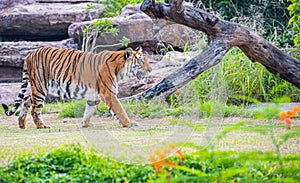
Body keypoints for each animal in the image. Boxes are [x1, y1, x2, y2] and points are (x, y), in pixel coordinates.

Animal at [1, 45, 152, 129]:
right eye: (141, 62)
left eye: (147, 60)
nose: (150, 70)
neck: (120, 70)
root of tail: (29, 54)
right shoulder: (108, 93)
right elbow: (120, 110)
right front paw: (129, 123)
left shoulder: (94, 96)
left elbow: (89, 111)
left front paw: (85, 124)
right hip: (40, 87)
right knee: (35, 109)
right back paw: (41, 126)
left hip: (39, 89)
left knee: (26, 99)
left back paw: (21, 123)